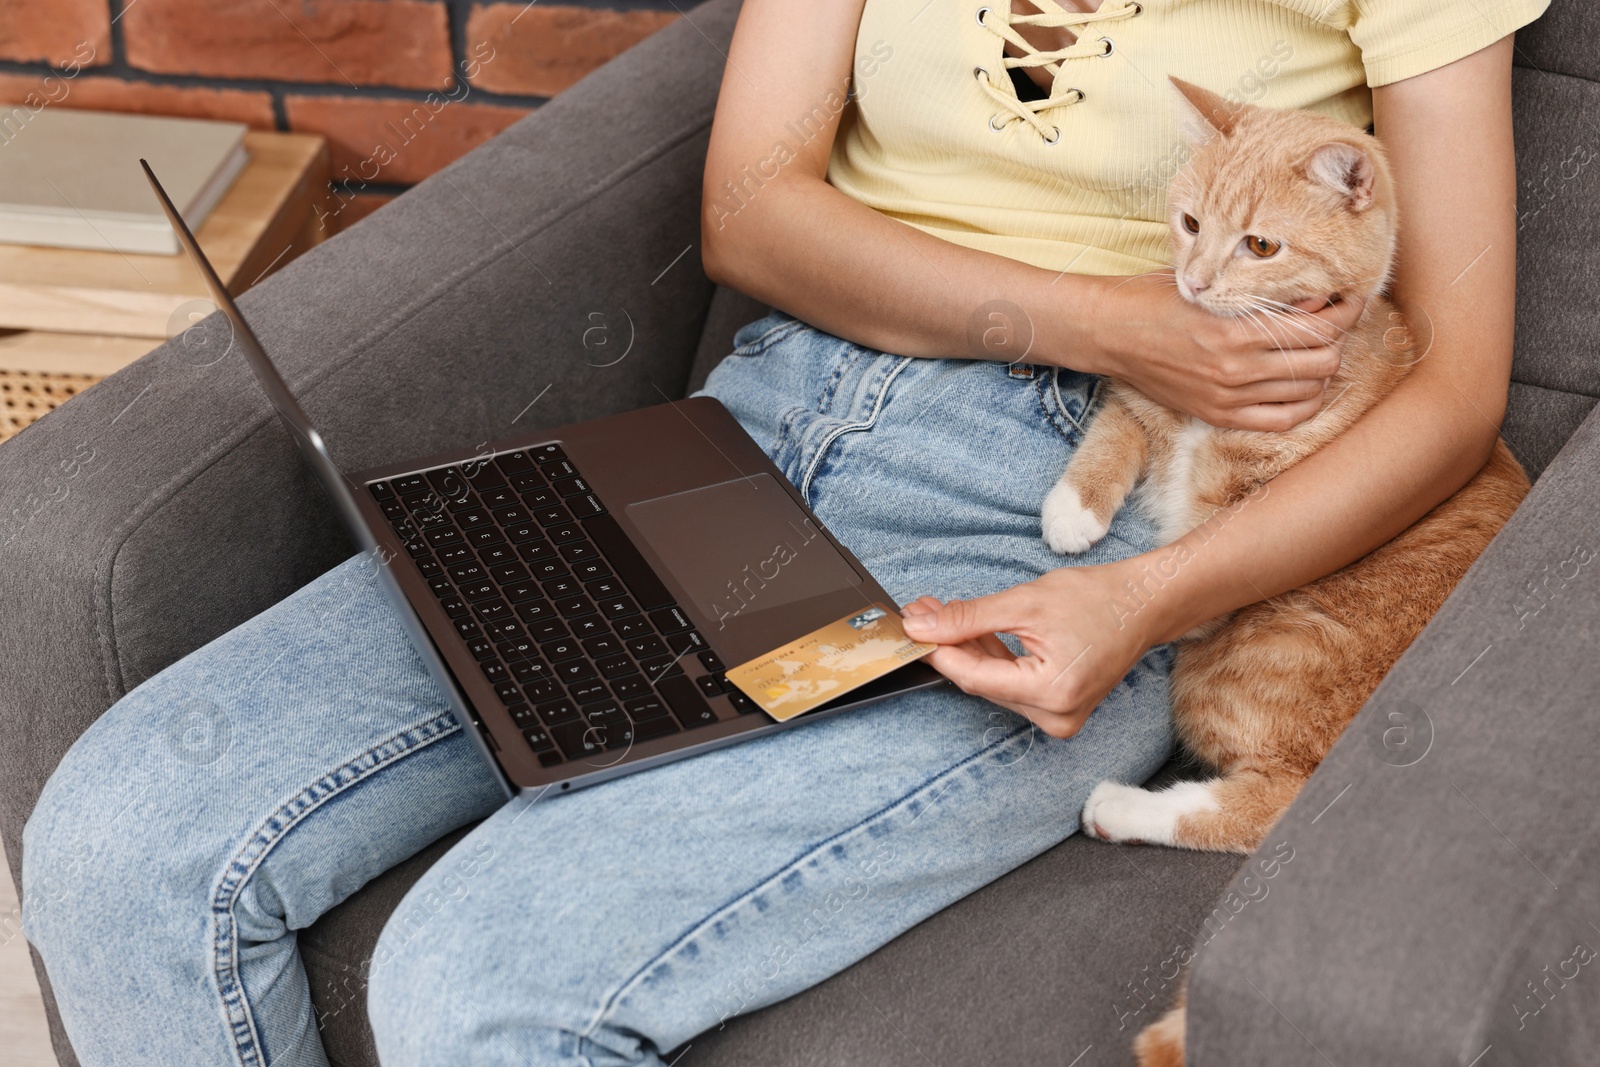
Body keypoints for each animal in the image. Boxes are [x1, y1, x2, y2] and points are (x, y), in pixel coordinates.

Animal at [1043, 81, 1529, 1067]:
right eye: (1190, 223)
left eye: (1260, 245)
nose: (1193, 283)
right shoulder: (1145, 395)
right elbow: (1118, 425)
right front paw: (1072, 509)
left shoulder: (1248, 509)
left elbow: (1189, 553)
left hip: (1248, 663)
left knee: (1271, 806)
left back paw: (1123, 807)